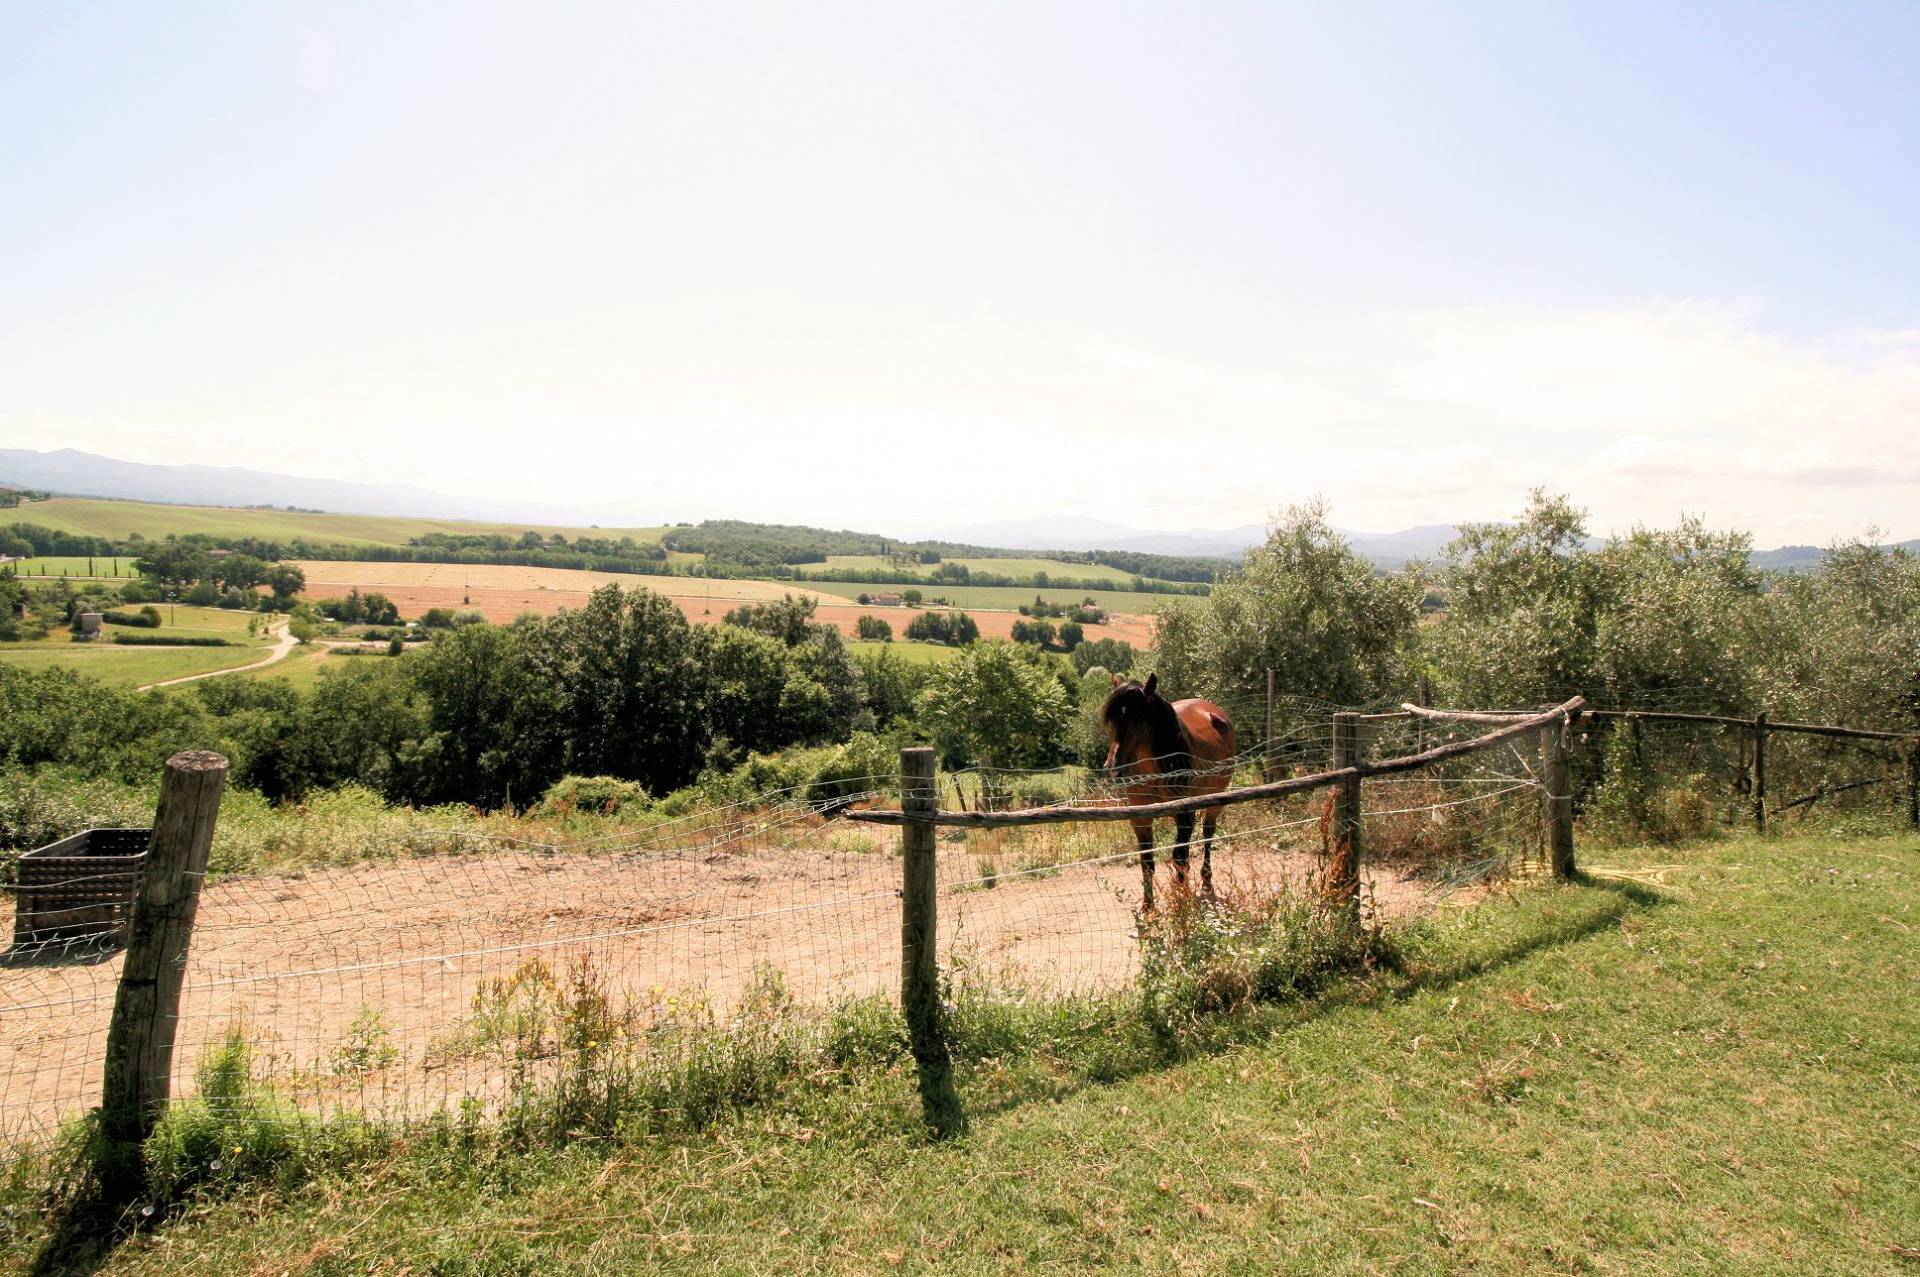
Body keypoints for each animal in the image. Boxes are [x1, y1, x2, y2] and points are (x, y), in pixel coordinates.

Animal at [1099, 673, 1237, 909]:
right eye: (1111, 720)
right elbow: (1147, 862)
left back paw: (1206, 882)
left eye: (1138, 719)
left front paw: (1181, 903)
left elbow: (1179, 858)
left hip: (1215, 799)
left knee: (1208, 833)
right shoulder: (1140, 818)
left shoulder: (1184, 815)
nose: (1113, 767)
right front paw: (1148, 907)